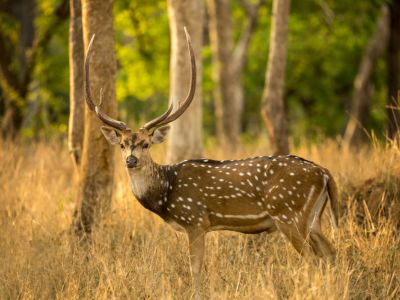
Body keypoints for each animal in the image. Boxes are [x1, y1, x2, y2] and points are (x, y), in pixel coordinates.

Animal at [83, 28, 338, 298]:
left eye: (145, 144)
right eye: (122, 145)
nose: (131, 160)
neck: (165, 194)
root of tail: (324, 173)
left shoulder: (195, 220)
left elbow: (195, 268)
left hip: (289, 214)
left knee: (312, 258)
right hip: (313, 218)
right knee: (330, 252)